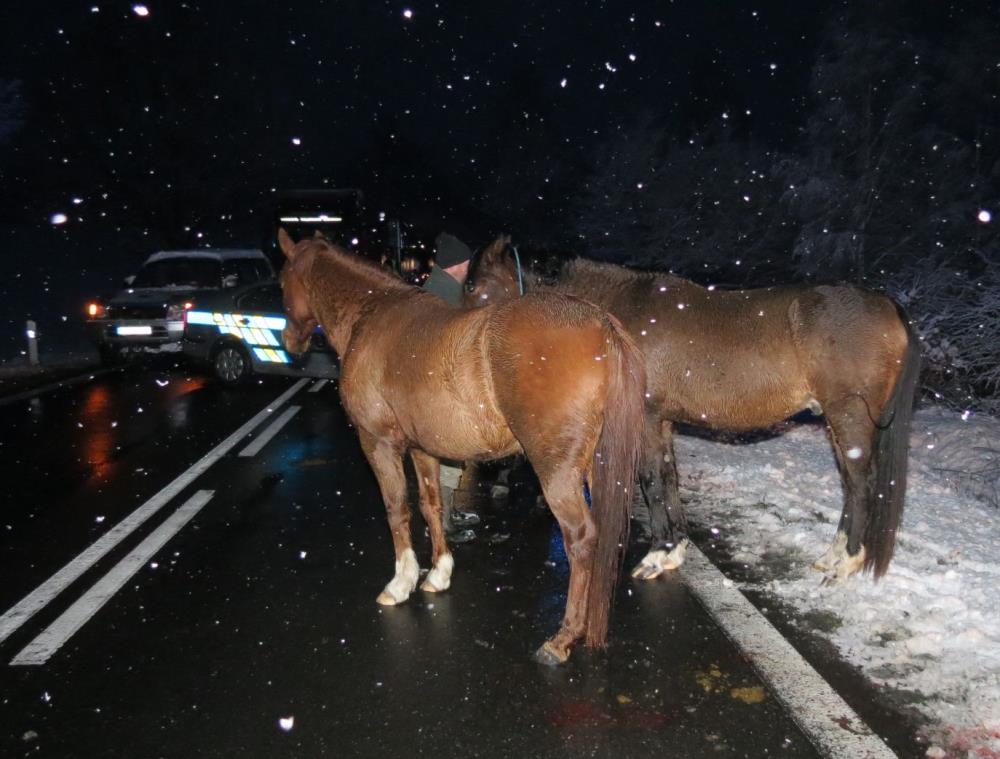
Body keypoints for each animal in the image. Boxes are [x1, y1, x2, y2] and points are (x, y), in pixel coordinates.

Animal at [278, 229, 644, 664]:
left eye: (281, 282)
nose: (288, 341)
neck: (370, 314)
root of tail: (599, 322)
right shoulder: (423, 449)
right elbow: (430, 505)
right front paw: (438, 573)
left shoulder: (378, 442)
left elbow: (396, 508)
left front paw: (400, 582)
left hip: (557, 471)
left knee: (582, 538)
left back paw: (564, 637)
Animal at [464, 240, 916, 584]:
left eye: (477, 288)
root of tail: (885, 304)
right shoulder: (662, 421)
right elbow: (668, 478)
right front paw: (673, 549)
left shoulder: (646, 420)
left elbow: (649, 481)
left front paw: (656, 555)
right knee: (851, 486)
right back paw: (833, 556)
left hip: (849, 417)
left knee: (861, 485)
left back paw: (846, 563)